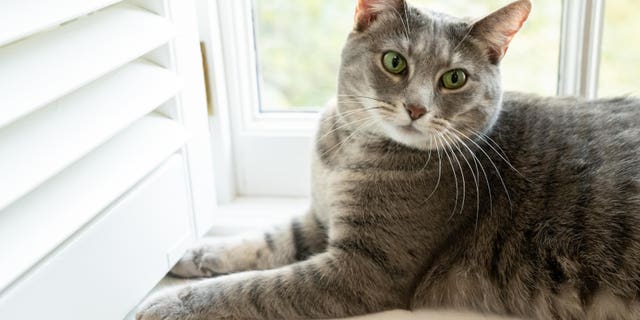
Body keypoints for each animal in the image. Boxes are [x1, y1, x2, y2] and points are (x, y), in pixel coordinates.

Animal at [136, 0, 640, 320]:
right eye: (395, 62)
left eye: (455, 78)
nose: (416, 108)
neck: (347, 150)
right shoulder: (320, 219)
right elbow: (266, 240)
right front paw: (198, 253)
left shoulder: (363, 268)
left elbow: (257, 287)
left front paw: (172, 303)